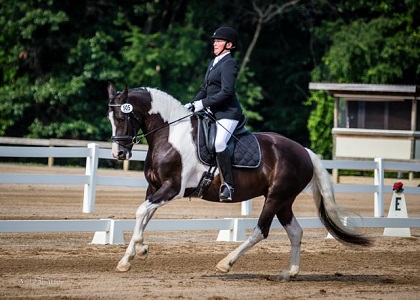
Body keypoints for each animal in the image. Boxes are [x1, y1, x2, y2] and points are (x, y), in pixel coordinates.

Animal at [106, 82, 370, 282]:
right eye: (110, 117)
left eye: (122, 116)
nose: (119, 153)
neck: (170, 135)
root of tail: (304, 151)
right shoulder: (154, 188)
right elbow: (144, 216)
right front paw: (129, 257)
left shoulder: (172, 188)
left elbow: (141, 212)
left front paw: (140, 249)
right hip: (284, 201)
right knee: (295, 232)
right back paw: (289, 273)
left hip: (275, 197)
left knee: (260, 231)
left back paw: (225, 263)